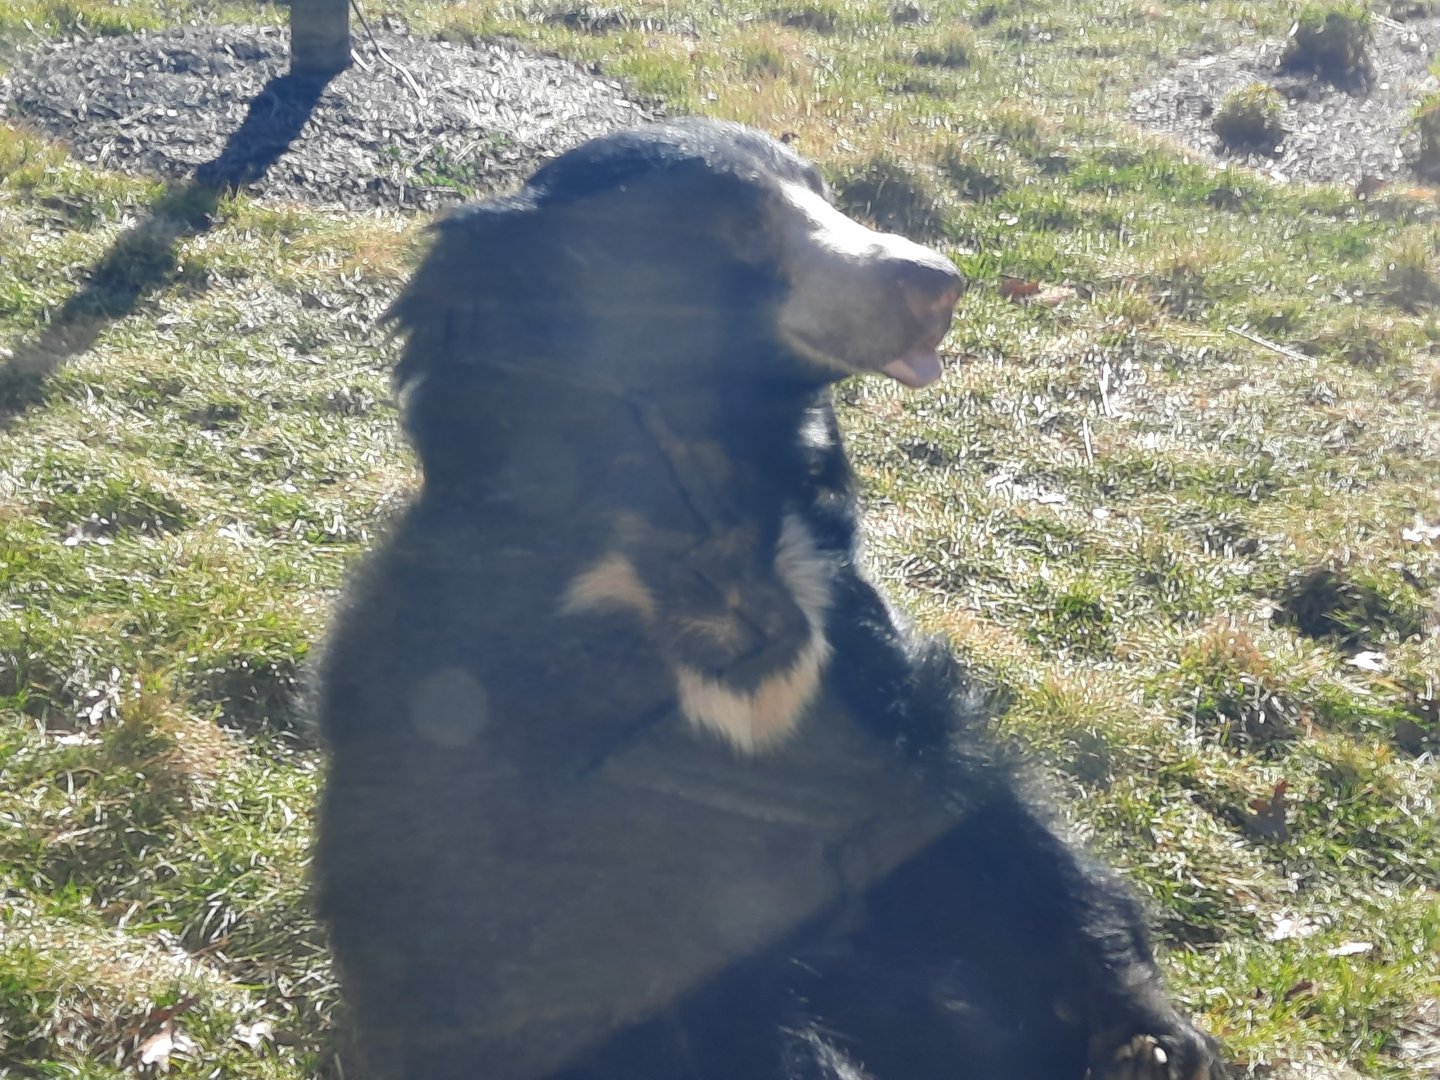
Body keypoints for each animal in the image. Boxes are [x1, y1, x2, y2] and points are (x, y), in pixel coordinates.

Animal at [312, 118, 1224, 1080]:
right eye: (740, 225)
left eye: (825, 195)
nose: (938, 284)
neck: (709, 498)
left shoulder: (860, 647)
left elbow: (989, 828)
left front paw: (1149, 1035)